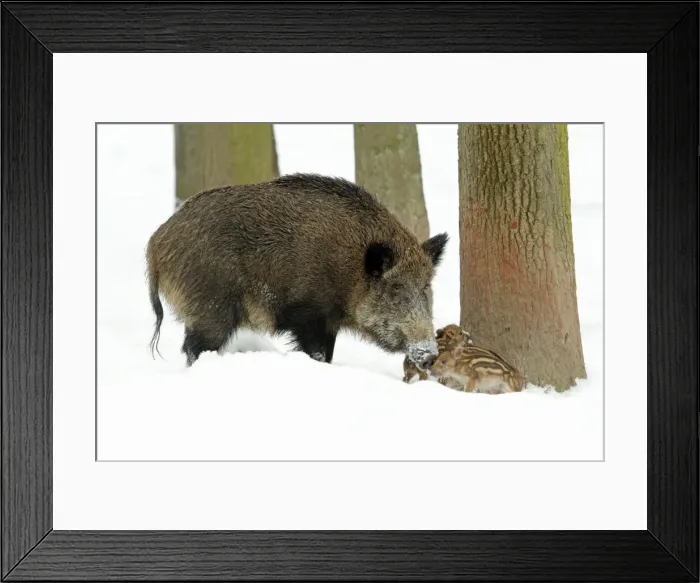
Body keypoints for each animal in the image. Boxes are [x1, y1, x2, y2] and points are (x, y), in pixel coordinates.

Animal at [146, 173, 448, 368]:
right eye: (395, 288)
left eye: (425, 287)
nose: (430, 355)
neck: (350, 273)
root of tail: (156, 241)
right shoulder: (309, 315)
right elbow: (317, 353)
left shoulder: (329, 323)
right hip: (211, 309)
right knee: (193, 347)